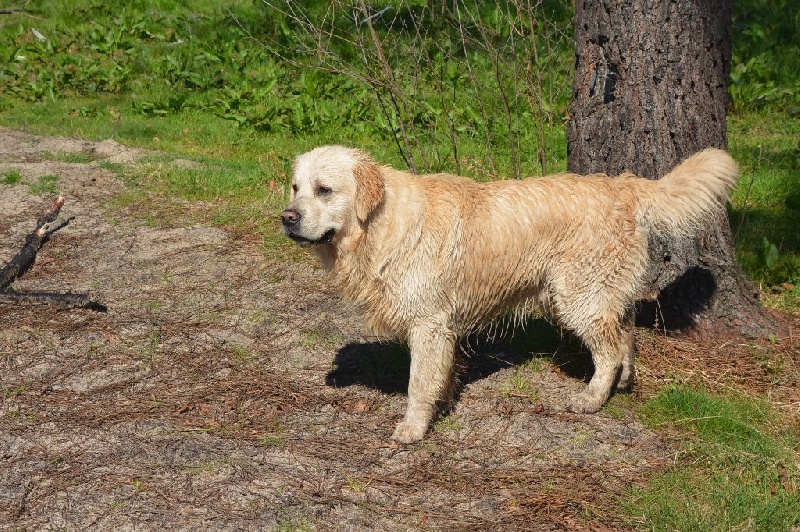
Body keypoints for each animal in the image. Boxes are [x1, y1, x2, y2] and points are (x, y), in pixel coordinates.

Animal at [282, 144, 736, 440]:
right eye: (295, 187)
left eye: (324, 189)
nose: (287, 218)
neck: (380, 225)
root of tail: (622, 187)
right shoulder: (443, 329)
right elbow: (442, 375)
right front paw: (443, 404)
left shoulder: (428, 324)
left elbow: (418, 384)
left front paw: (413, 428)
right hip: (597, 293)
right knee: (624, 334)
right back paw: (622, 384)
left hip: (577, 298)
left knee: (607, 351)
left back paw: (591, 398)